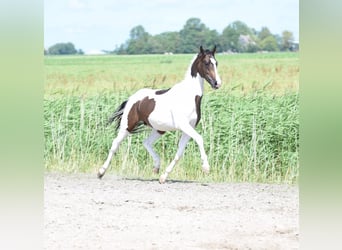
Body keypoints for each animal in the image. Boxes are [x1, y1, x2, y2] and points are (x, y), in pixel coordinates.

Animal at [97, 46, 223, 184]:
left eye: (216, 63)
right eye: (206, 63)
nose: (217, 83)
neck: (188, 96)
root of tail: (132, 98)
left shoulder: (188, 128)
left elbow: (179, 152)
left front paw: (163, 177)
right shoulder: (184, 126)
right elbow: (199, 139)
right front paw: (206, 168)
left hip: (159, 129)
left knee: (146, 143)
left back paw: (156, 167)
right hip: (127, 126)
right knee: (115, 144)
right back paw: (101, 172)